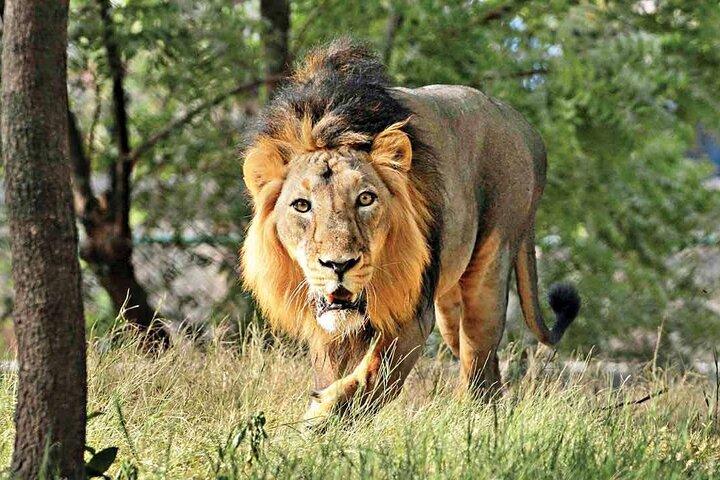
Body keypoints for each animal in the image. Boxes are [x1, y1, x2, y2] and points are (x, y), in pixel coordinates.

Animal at [241, 39, 580, 424]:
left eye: (365, 198)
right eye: (301, 205)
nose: (338, 265)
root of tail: (525, 127)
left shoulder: (412, 313)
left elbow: (374, 375)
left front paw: (322, 414)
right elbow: (335, 372)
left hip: (490, 265)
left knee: (477, 358)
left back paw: (469, 421)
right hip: (449, 304)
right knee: (486, 366)